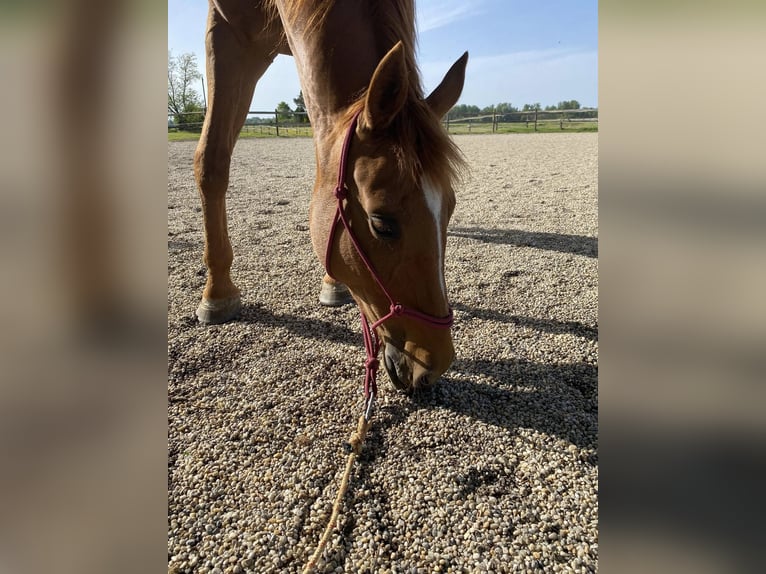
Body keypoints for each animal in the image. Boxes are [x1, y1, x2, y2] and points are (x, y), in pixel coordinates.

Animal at [194, 0, 468, 392]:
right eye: (382, 224)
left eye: (451, 208)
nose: (433, 364)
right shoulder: (228, 32)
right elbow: (212, 161)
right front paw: (217, 295)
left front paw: (333, 284)